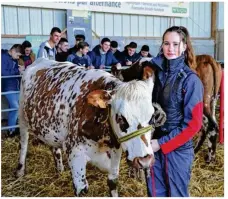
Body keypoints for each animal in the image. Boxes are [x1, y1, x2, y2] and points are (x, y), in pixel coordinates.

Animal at [16, 57, 157, 196]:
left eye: (152, 117)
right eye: (120, 118)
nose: (144, 161)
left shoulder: (115, 153)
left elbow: (113, 183)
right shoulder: (74, 152)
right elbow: (82, 190)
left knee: (54, 148)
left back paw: (60, 170)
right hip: (22, 118)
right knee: (24, 144)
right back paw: (20, 171)